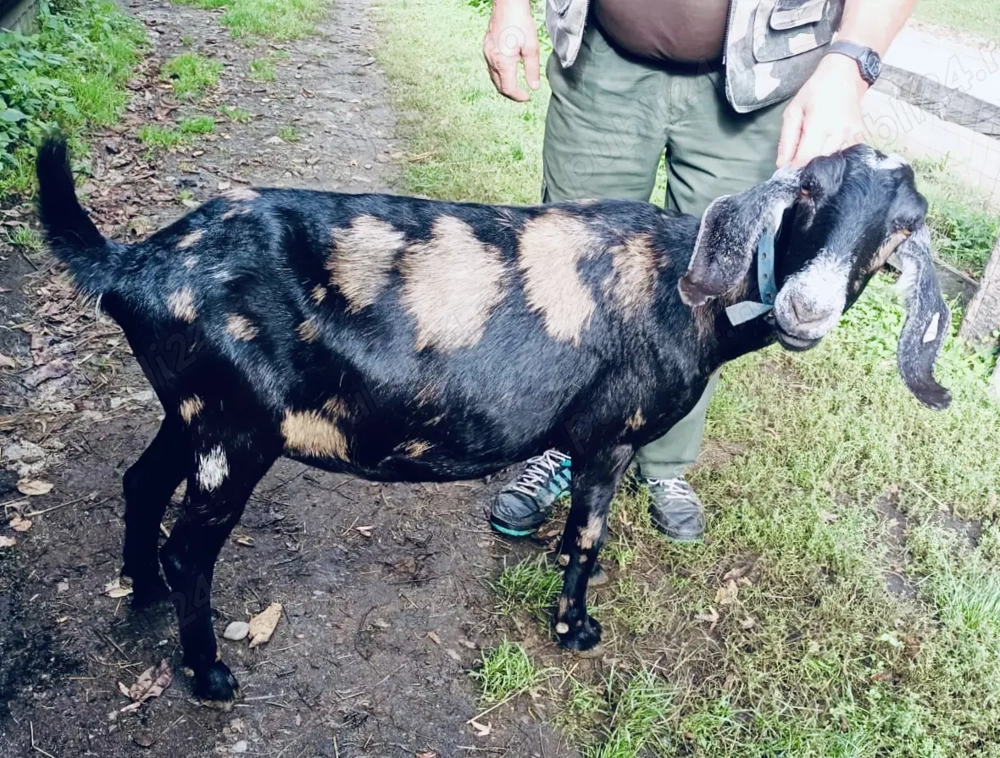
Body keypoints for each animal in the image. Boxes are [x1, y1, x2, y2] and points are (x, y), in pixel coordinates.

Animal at [35, 135, 950, 708]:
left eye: (902, 227)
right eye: (808, 192)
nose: (806, 307)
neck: (687, 293)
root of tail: (133, 263)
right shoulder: (611, 438)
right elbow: (587, 537)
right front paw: (574, 628)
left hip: (191, 412)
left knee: (142, 482)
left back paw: (144, 591)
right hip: (235, 430)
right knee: (191, 548)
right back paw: (208, 674)